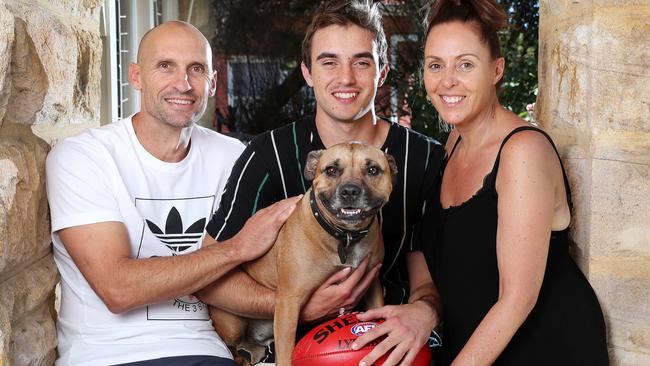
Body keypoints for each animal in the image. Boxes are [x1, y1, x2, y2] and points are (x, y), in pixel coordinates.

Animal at [210, 142, 398, 366]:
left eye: (373, 170)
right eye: (331, 170)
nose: (350, 191)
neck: (345, 237)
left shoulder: (373, 285)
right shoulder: (289, 302)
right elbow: (285, 355)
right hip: (233, 325)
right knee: (233, 346)